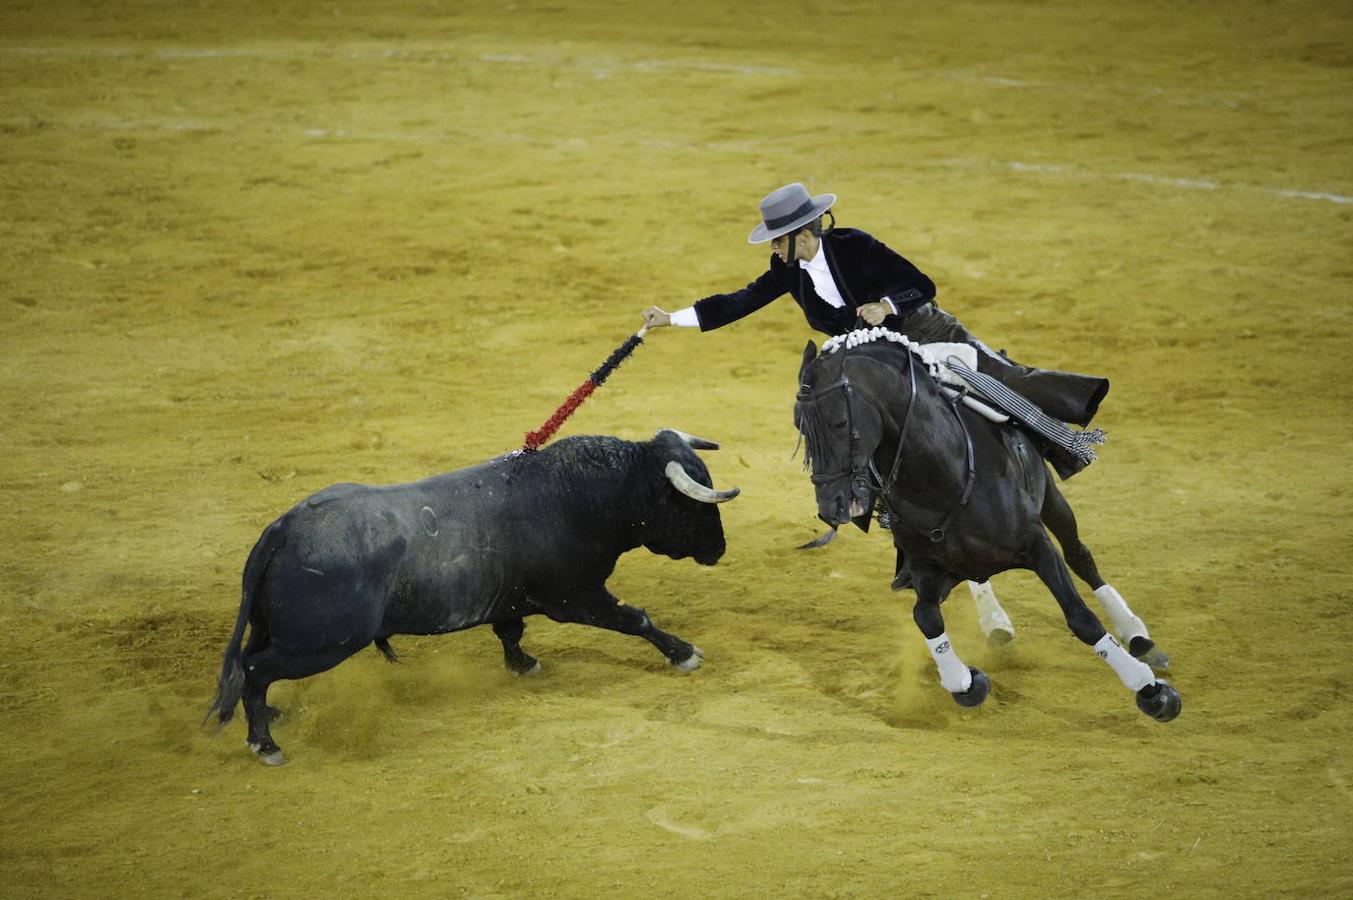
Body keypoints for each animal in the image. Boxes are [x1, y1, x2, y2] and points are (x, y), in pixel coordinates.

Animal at [205, 424, 741, 763]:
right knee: (256, 670)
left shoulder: (514, 598)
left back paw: (270, 715)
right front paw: (684, 653)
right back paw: (265, 744)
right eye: (691, 504)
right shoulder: (576, 597)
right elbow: (635, 618)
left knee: (247, 666)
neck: (584, 494)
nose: (718, 549)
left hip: (280, 632)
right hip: (321, 644)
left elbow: (510, 631)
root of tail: (283, 529)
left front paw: (523, 665)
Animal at [795, 330, 1179, 725]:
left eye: (840, 423)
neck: (942, 479)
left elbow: (1080, 616)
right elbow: (926, 618)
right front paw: (966, 682)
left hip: (1053, 501)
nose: (830, 507)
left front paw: (1151, 690)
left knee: (1080, 557)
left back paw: (1137, 636)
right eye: (799, 426)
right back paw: (996, 624)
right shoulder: (927, 569)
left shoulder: (1038, 545)